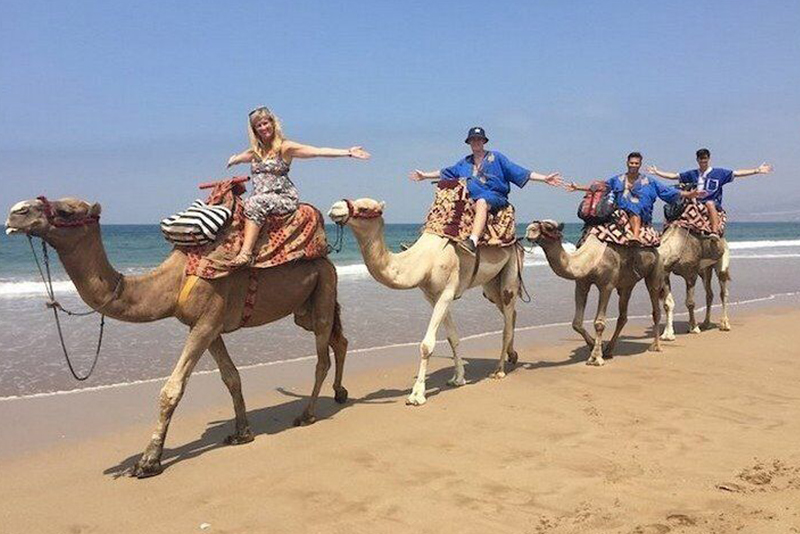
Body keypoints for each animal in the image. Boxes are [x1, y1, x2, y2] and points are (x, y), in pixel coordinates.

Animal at [3, 198, 346, 482]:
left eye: (65, 211)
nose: (16, 211)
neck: (173, 281)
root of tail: (327, 256)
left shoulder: (206, 320)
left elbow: (172, 389)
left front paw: (148, 461)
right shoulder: (208, 325)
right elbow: (231, 377)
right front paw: (242, 432)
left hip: (323, 287)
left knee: (322, 355)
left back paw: (307, 414)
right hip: (306, 306)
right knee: (337, 340)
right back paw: (340, 393)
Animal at [326, 200, 520, 406]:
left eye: (365, 208)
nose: (335, 207)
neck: (425, 260)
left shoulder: (447, 292)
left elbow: (427, 345)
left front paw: (417, 395)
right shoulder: (432, 296)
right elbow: (453, 337)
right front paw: (458, 378)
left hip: (511, 269)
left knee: (507, 320)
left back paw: (499, 370)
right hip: (490, 285)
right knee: (509, 312)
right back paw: (512, 355)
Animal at [524, 220, 664, 366]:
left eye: (549, 227)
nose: (530, 229)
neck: (589, 259)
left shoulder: (606, 286)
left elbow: (599, 323)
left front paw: (595, 358)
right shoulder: (581, 284)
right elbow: (576, 323)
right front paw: (594, 346)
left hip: (655, 268)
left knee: (655, 306)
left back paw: (656, 346)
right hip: (627, 284)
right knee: (623, 316)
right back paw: (609, 350)